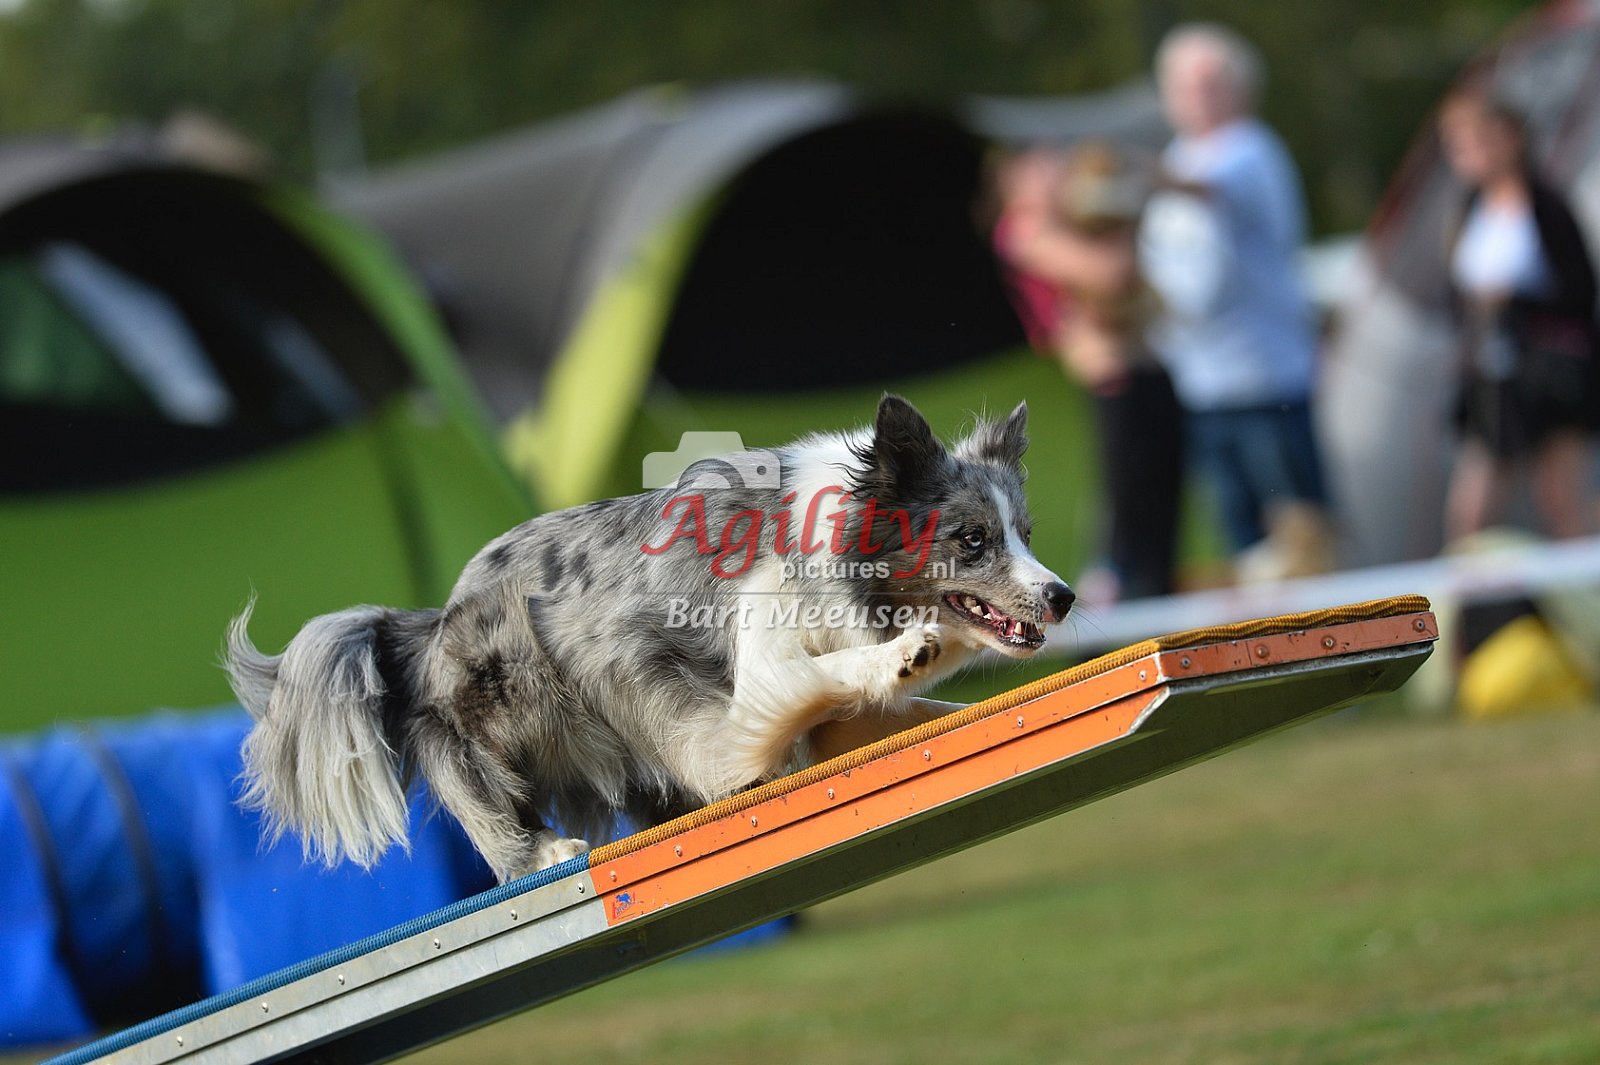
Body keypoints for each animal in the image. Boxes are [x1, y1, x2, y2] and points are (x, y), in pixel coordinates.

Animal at [226, 395, 1074, 883]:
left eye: (1026, 533)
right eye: (971, 539)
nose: (1063, 598)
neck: (837, 542)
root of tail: (434, 619)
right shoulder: (761, 660)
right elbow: (827, 674)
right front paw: (908, 652)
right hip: (509, 700)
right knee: (480, 797)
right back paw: (540, 852)